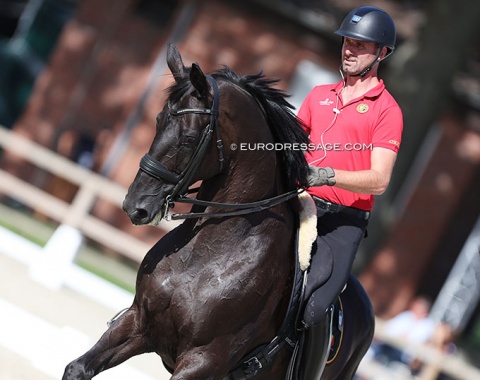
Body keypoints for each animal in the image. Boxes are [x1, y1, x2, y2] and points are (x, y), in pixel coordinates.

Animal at [62, 44, 374, 380]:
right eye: (157, 121)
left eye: (188, 138)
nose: (136, 207)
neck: (208, 251)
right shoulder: (138, 323)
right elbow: (77, 368)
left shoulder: (205, 359)